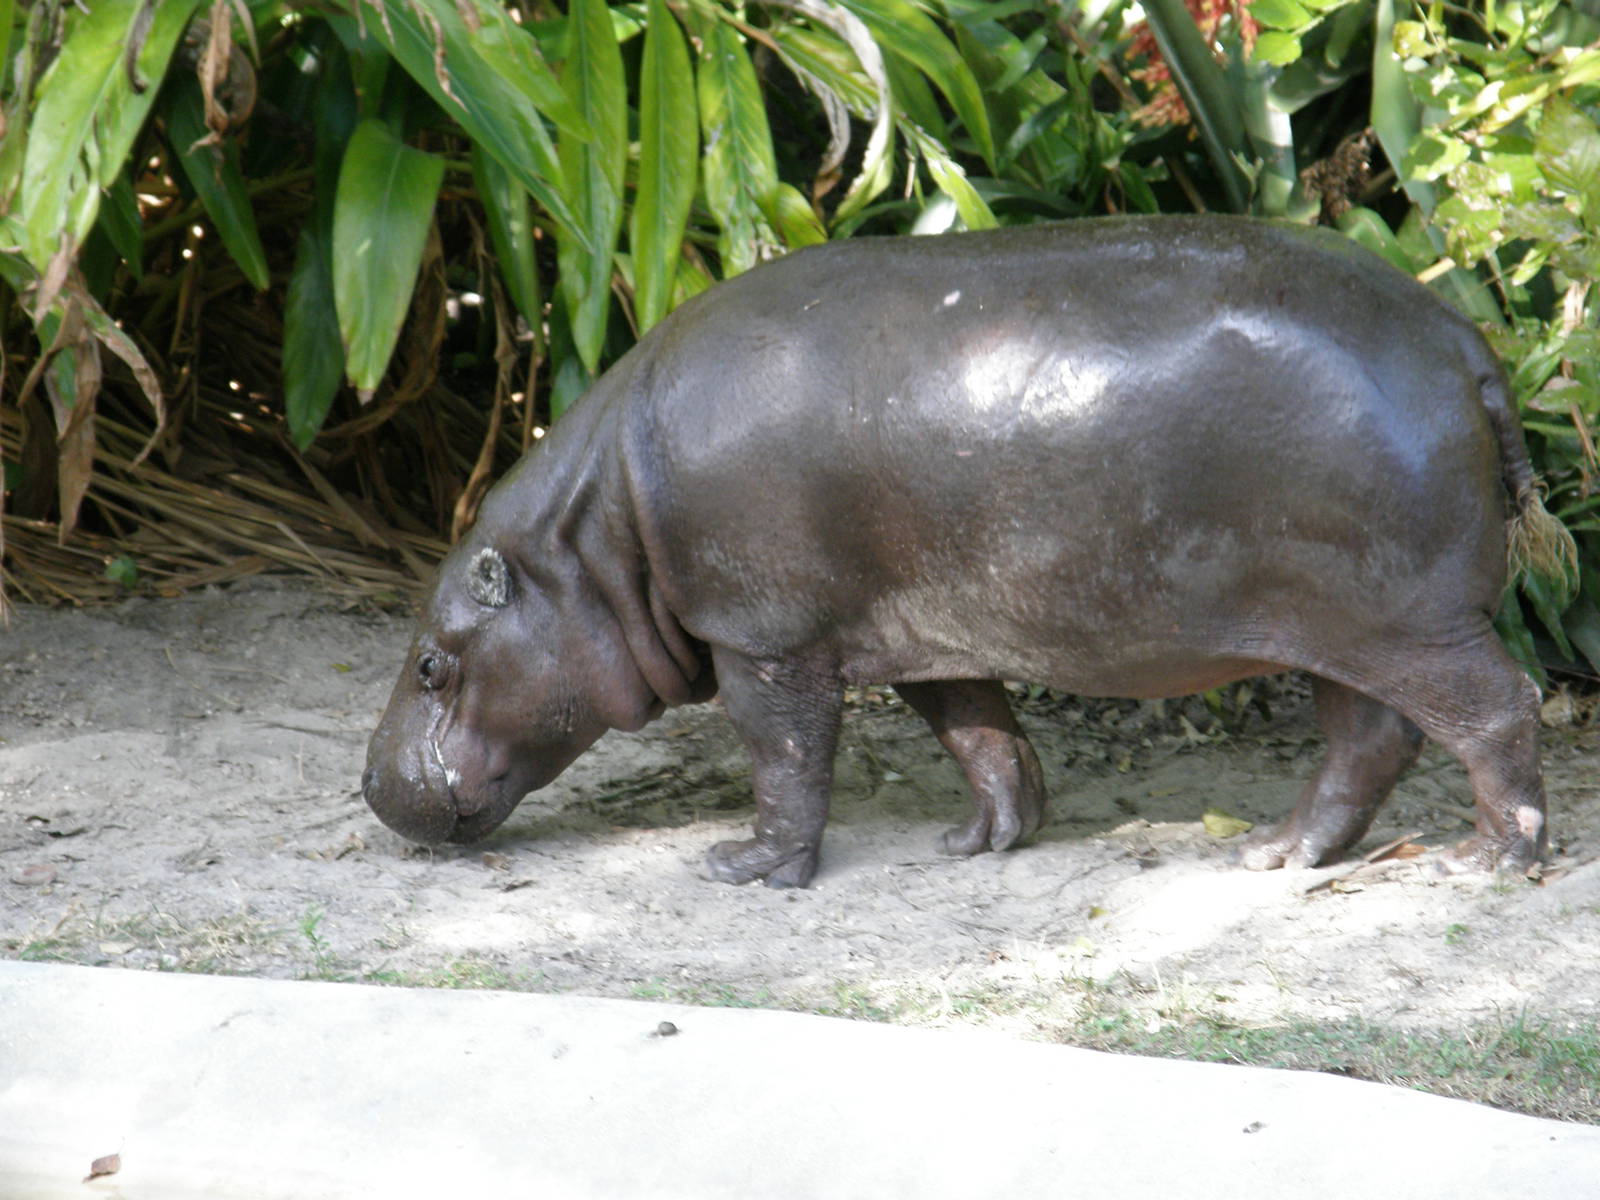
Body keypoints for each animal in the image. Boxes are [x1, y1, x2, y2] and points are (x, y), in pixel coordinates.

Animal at [363, 214, 1571, 888]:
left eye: (430, 663)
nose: (371, 789)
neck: (594, 539)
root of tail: (1465, 345)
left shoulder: (763, 637)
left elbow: (784, 755)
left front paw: (747, 870)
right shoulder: (925, 626)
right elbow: (980, 732)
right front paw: (983, 843)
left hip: (1404, 621)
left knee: (1496, 713)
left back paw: (1484, 864)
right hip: (1340, 625)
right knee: (1368, 738)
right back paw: (1273, 856)